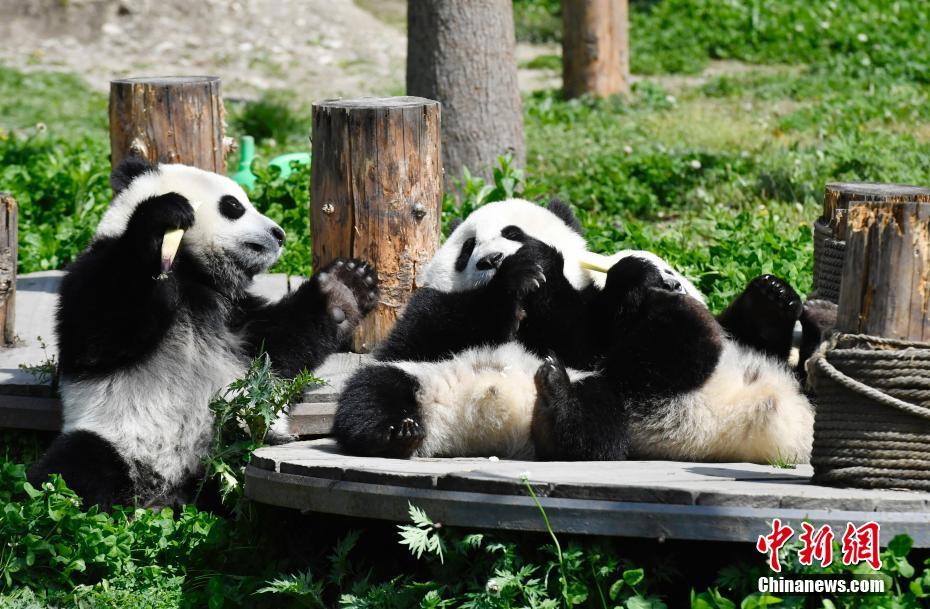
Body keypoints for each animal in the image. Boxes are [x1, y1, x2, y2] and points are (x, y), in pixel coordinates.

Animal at [29, 158, 376, 508]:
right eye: (233, 206)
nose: (279, 234)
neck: (195, 273)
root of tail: (167, 488)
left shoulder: (235, 317)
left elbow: (277, 345)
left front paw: (345, 288)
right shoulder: (93, 270)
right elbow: (103, 327)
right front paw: (162, 218)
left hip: (242, 432)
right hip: (110, 435)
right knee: (73, 471)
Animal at [334, 198, 812, 460]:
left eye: (512, 231)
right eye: (467, 249)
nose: (491, 259)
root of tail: (478, 421)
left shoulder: (590, 322)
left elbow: (583, 337)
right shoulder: (427, 311)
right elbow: (425, 332)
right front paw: (517, 277)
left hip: (606, 393)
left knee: (597, 428)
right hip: (421, 376)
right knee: (370, 391)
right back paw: (394, 433)